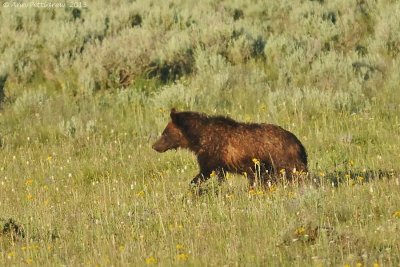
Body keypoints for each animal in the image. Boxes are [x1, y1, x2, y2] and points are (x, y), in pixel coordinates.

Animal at [152, 108, 308, 186]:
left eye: (164, 133)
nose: (155, 146)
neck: (198, 138)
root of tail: (297, 142)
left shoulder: (212, 155)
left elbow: (204, 172)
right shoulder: (221, 164)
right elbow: (219, 177)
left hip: (282, 159)